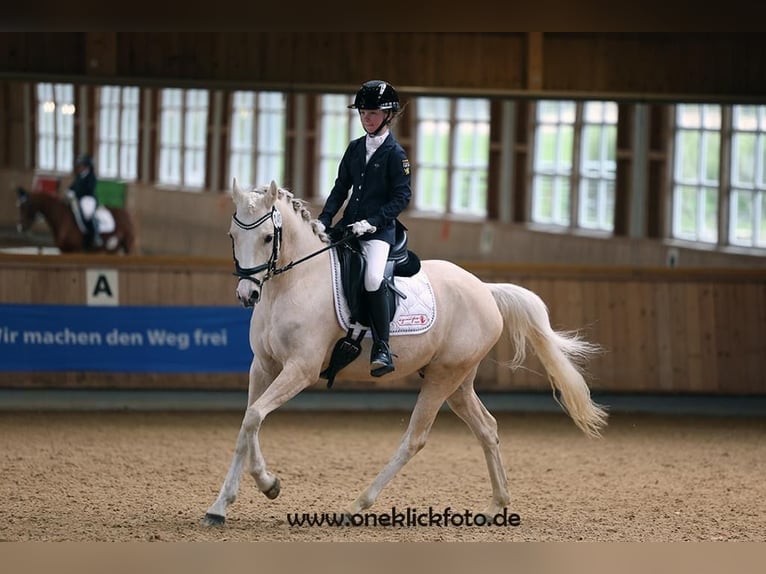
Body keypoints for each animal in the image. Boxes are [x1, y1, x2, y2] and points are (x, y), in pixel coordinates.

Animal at [201, 182, 608, 528]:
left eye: (268, 237)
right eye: (233, 236)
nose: (248, 295)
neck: (294, 283)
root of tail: (485, 289)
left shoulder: (300, 369)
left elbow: (255, 417)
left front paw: (267, 483)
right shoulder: (264, 366)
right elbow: (248, 423)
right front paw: (223, 505)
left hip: (444, 378)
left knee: (415, 438)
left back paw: (356, 506)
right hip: (458, 382)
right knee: (487, 429)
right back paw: (496, 505)